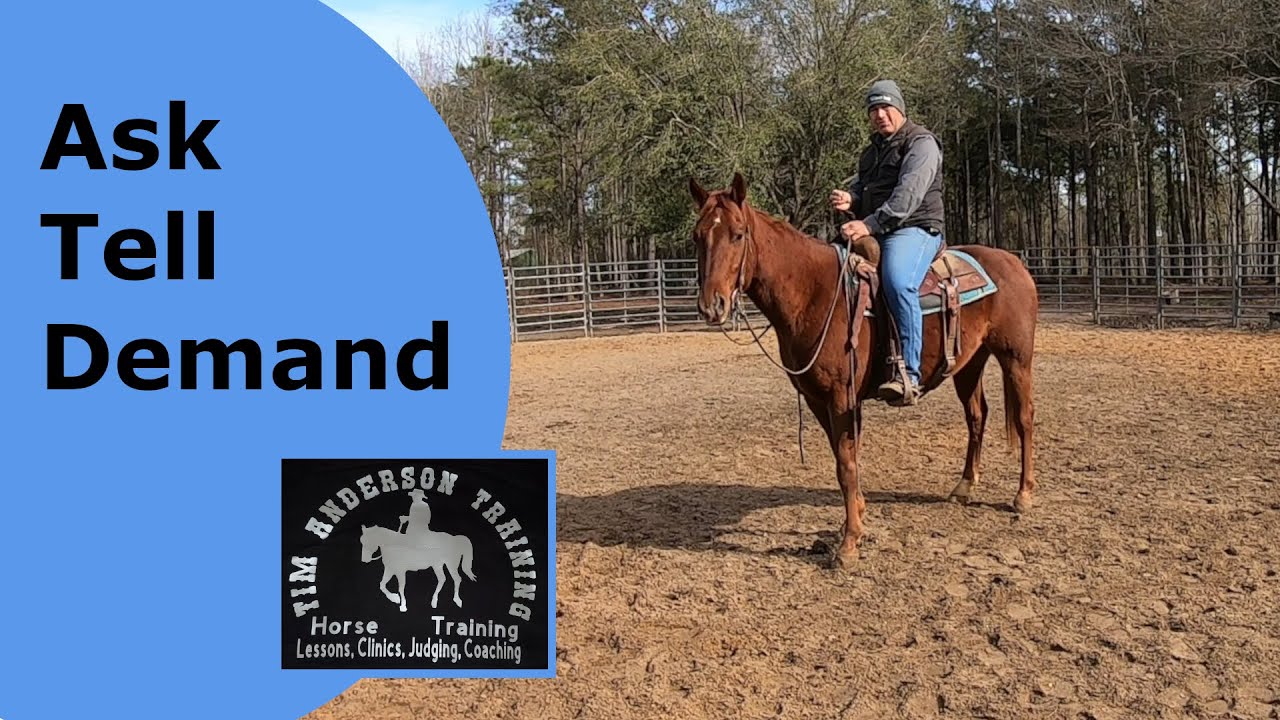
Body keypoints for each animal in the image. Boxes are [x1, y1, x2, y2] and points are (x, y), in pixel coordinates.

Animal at [688, 173, 1038, 570]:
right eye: (697, 236)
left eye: (738, 234)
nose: (712, 306)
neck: (814, 292)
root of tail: (1014, 263)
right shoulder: (817, 399)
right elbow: (844, 459)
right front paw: (854, 521)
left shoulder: (843, 397)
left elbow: (846, 463)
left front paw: (850, 542)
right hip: (969, 363)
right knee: (977, 415)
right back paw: (964, 486)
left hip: (1016, 358)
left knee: (1024, 417)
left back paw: (1023, 494)